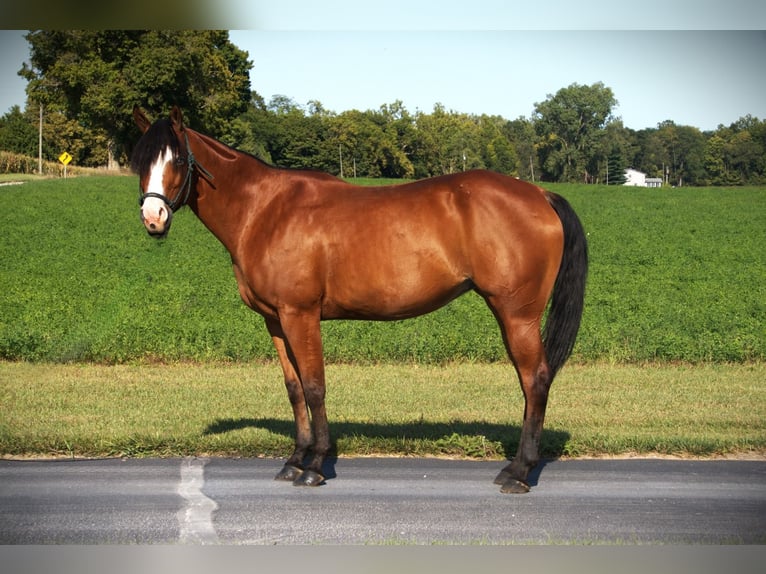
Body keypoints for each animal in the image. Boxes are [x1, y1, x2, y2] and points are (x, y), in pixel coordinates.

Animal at [130, 106, 587, 493]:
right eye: (140, 162)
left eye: (177, 160)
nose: (153, 219)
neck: (265, 210)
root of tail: (539, 194)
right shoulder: (275, 320)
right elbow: (294, 388)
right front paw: (294, 460)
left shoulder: (301, 315)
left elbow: (315, 386)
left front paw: (315, 465)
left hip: (517, 314)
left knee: (535, 379)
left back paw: (519, 471)